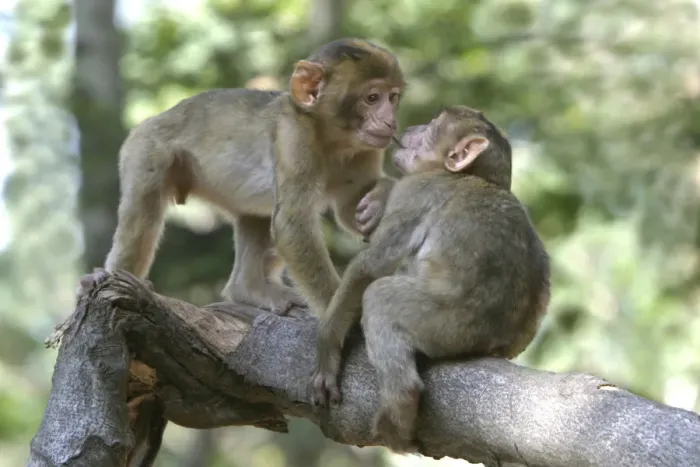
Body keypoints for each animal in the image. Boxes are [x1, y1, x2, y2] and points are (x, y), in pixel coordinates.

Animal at [103, 38, 404, 315]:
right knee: (144, 211)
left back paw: (247, 290)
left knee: (254, 216)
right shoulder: (294, 137)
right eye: (372, 98)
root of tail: (152, 119)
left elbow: (349, 209)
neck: (334, 138)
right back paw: (115, 278)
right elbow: (292, 225)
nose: (391, 122)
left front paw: (381, 198)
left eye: (392, 98)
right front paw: (340, 314)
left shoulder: (366, 150)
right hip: (145, 150)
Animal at [308, 106, 551, 453]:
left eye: (434, 126)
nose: (412, 127)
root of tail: (490, 341)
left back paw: (399, 406)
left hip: (445, 324)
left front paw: (327, 346)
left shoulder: (416, 191)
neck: (469, 176)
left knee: (380, 296)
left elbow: (370, 267)